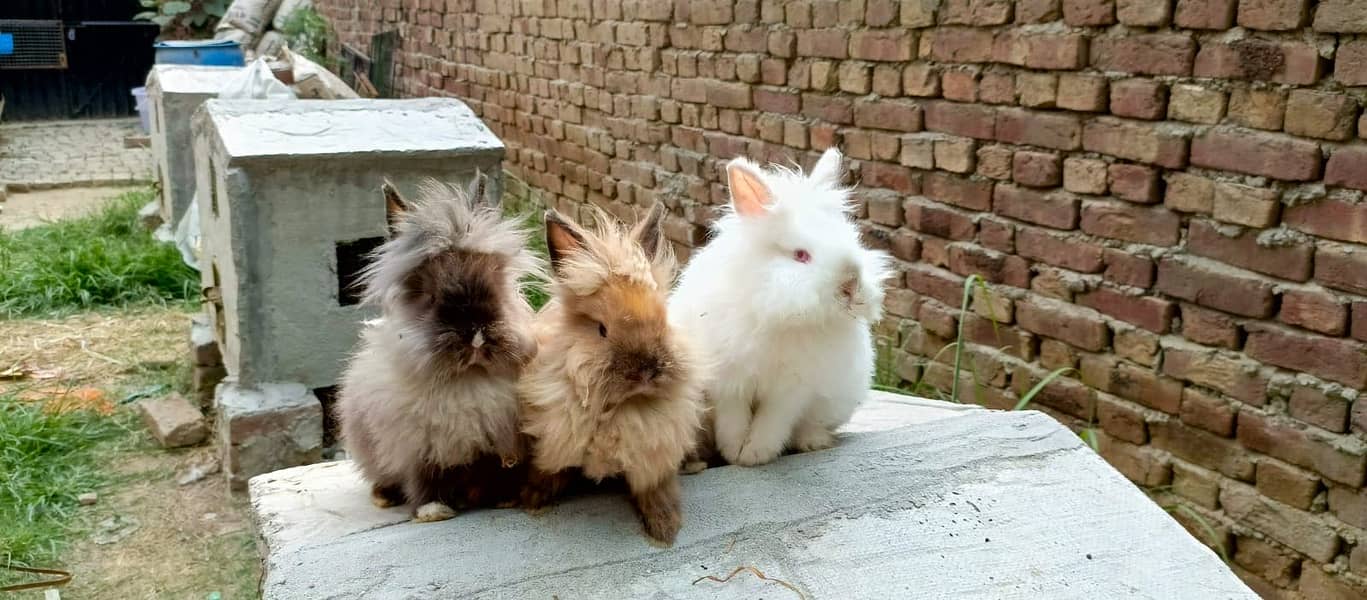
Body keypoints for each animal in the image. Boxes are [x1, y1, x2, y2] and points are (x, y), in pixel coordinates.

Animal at [335, 174, 541, 522]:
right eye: (429, 295)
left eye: (495, 283)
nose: (476, 335)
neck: (469, 379)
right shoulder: (418, 448)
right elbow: (425, 479)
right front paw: (433, 511)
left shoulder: (501, 443)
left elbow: (499, 472)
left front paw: (505, 499)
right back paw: (384, 496)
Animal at [518, 203, 706, 546]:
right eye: (602, 330)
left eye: (662, 319)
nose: (646, 370)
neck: (616, 409)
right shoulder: (555, 439)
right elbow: (549, 470)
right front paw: (532, 499)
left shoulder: (654, 456)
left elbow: (653, 488)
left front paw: (665, 527)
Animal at [669, 148, 894, 467]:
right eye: (801, 255)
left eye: (853, 242)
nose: (851, 286)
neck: (778, 314)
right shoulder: (728, 381)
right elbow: (733, 419)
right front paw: (734, 453)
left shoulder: (792, 390)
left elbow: (773, 421)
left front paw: (754, 454)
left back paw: (813, 442)